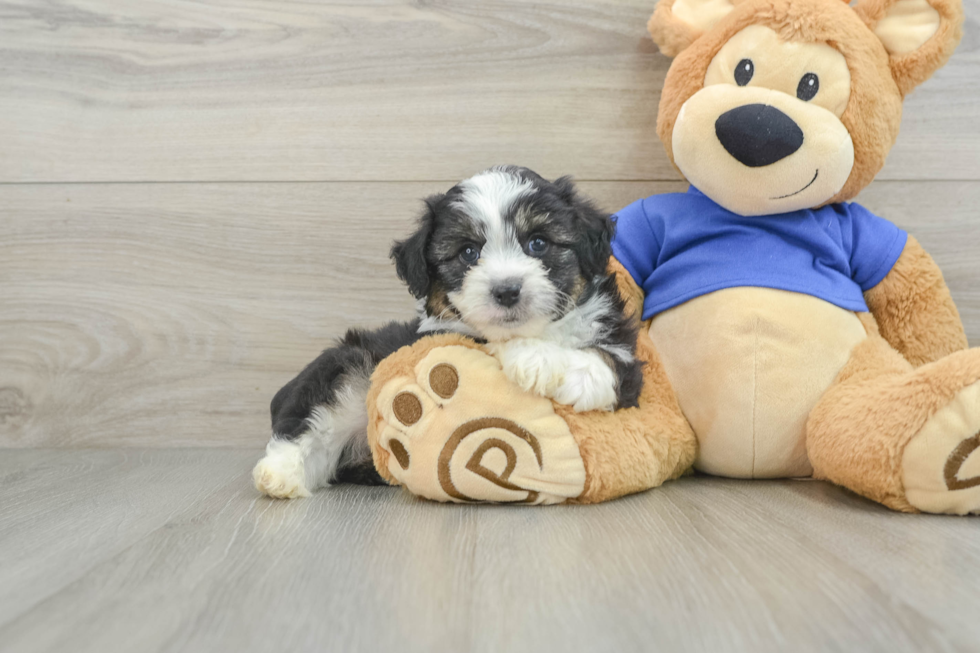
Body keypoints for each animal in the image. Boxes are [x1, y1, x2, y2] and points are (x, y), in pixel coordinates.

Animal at [253, 166, 644, 496]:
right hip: (348, 367)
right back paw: (280, 475)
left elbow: (605, 362)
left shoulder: (623, 357)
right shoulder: (438, 337)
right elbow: (482, 342)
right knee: (315, 428)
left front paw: (540, 362)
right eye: (468, 252)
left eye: (538, 243)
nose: (506, 290)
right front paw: (530, 356)